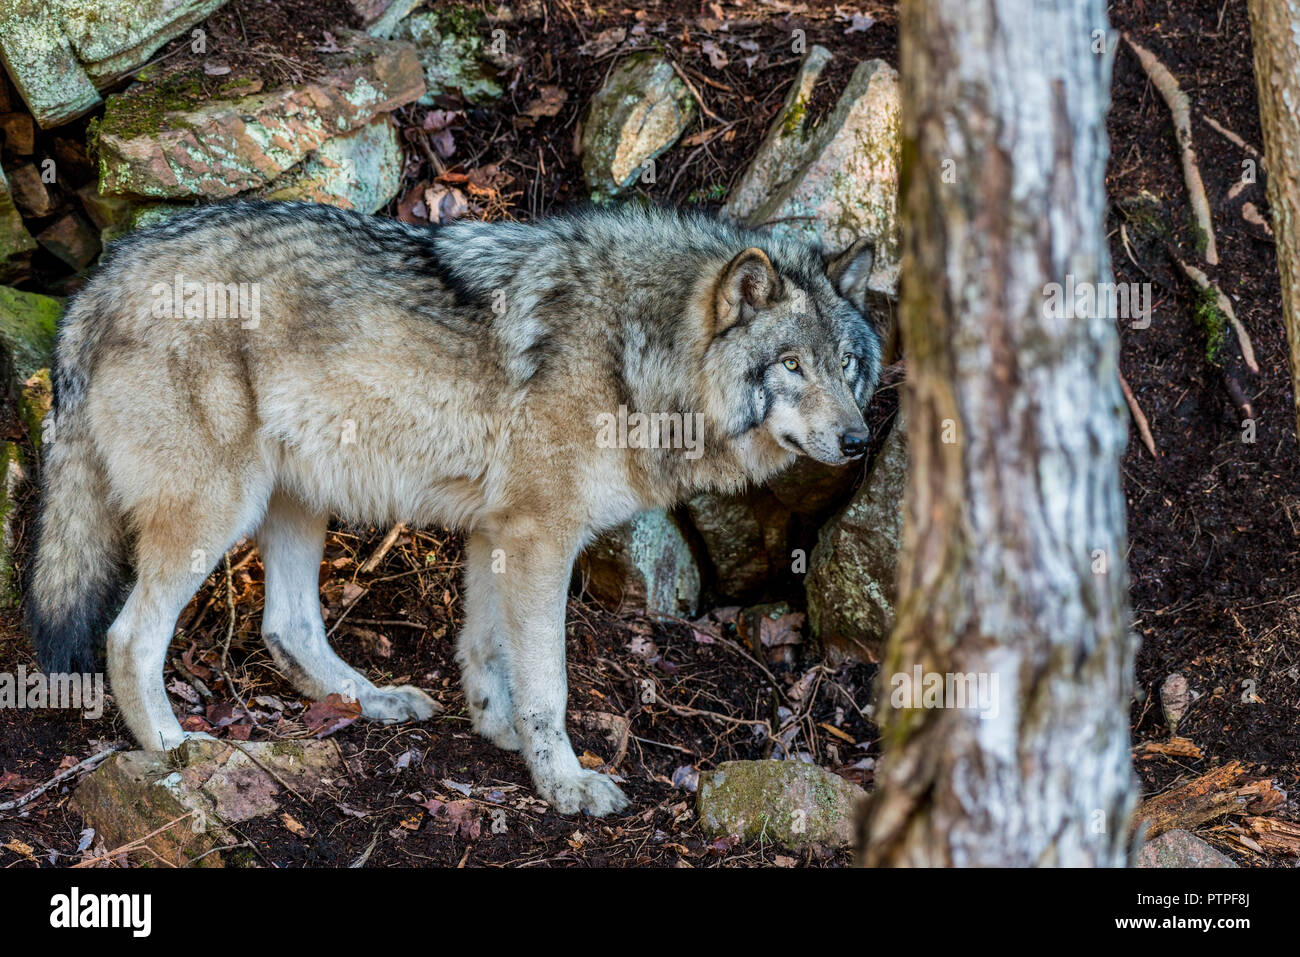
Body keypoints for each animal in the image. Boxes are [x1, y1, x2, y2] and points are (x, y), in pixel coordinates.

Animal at [25, 201, 883, 816]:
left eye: (846, 365)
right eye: (792, 365)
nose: (857, 439)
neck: (635, 352)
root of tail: (97, 281)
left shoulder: (494, 532)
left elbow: (487, 649)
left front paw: (496, 728)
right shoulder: (541, 537)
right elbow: (548, 682)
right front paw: (565, 784)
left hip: (297, 500)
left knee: (288, 626)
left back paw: (374, 699)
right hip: (218, 512)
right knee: (128, 637)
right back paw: (173, 747)